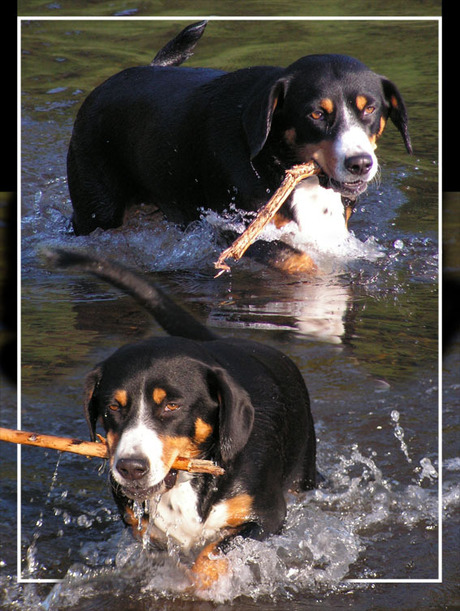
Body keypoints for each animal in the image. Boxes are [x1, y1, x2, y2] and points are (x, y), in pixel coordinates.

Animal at [49, 250, 316, 592]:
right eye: (113, 406)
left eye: (172, 405)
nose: (131, 467)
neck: (187, 480)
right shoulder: (143, 528)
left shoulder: (266, 517)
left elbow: (211, 554)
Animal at [67, 22, 410, 270]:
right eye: (316, 114)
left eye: (370, 108)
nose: (360, 163)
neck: (274, 157)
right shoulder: (230, 227)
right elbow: (296, 258)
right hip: (97, 212)